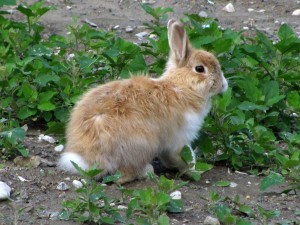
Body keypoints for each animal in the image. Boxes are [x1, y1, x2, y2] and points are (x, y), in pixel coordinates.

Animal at [58, 18, 227, 185]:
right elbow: (184, 156)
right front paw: (194, 171)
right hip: (141, 145)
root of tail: (89, 161)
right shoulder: (179, 138)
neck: (181, 87)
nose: (224, 85)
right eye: (200, 69)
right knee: (124, 176)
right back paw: (148, 171)